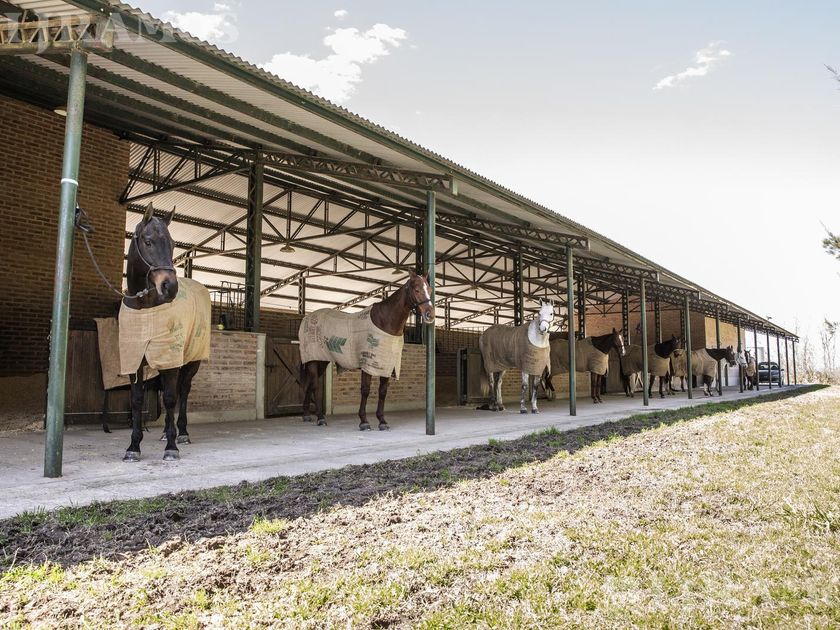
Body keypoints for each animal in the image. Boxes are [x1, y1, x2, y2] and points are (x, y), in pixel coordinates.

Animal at [121, 203, 211, 462]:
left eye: (172, 244)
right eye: (148, 241)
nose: (169, 287)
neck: (145, 308)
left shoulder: (171, 358)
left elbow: (171, 398)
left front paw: (172, 446)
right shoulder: (135, 359)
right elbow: (137, 400)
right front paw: (133, 447)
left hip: (190, 360)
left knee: (183, 392)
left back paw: (182, 433)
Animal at [299, 270, 435, 431]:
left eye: (430, 290)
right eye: (417, 289)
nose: (430, 314)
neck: (384, 321)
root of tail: (307, 318)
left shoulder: (386, 364)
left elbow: (382, 391)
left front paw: (382, 421)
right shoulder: (367, 362)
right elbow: (365, 390)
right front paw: (364, 421)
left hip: (321, 361)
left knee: (309, 384)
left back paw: (306, 415)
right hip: (314, 359)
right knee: (314, 386)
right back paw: (320, 418)